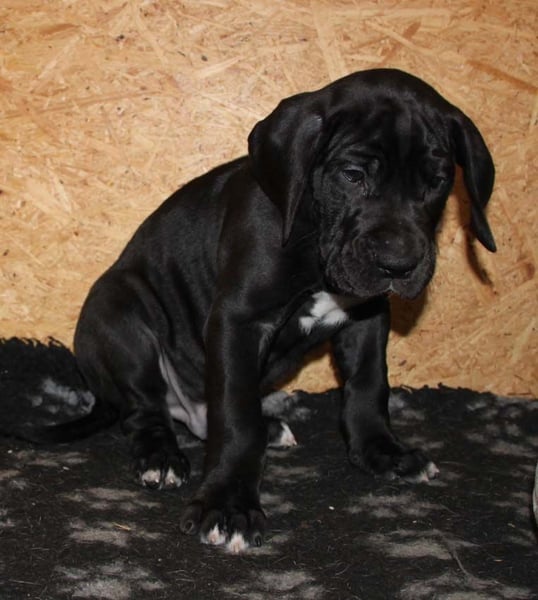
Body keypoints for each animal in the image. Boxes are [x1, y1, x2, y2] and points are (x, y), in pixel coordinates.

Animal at [22, 69, 496, 553]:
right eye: (352, 175)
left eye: (437, 181)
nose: (398, 264)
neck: (312, 236)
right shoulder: (240, 321)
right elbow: (237, 415)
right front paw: (228, 504)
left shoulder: (366, 316)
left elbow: (368, 386)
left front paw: (382, 452)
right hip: (120, 312)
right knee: (145, 409)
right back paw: (161, 457)